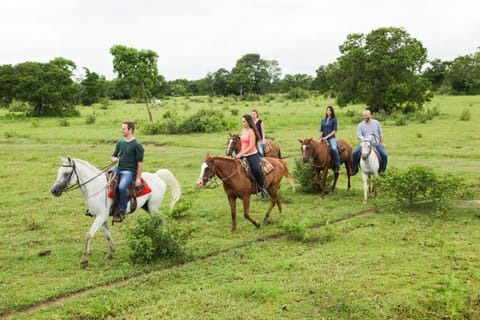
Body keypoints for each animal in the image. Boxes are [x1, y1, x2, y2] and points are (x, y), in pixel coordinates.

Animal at [50, 157, 181, 268]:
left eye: (66, 173)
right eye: (58, 171)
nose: (54, 191)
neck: (96, 187)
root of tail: (157, 175)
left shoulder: (100, 216)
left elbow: (89, 235)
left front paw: (84, 260)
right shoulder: (101, 218)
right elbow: (107, 235)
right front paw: (111, 253)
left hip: (153, 208)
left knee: (163, 220)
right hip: (148, 208)